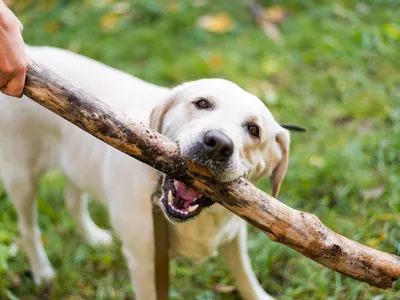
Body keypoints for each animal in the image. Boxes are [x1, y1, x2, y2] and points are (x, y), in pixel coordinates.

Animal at [0, 45, 294, 298]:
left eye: (254, 130)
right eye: (201, 103)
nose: (218, 144)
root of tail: (31, 51)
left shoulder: (234, 238)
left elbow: (246, 277)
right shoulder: (144, 262)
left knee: (73, 199)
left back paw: (93, 237)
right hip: (21, 176)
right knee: (28, 227)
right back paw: (42, 271)